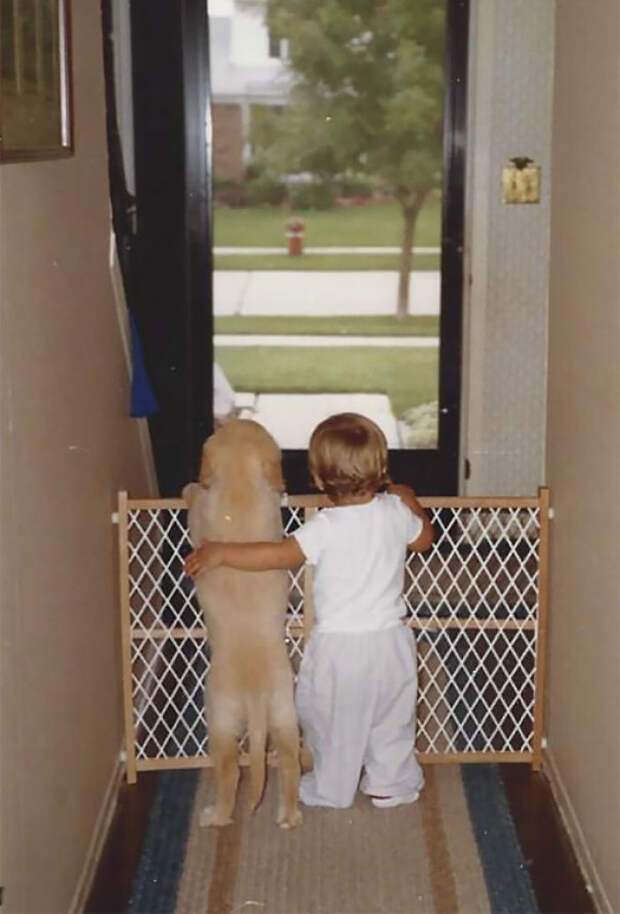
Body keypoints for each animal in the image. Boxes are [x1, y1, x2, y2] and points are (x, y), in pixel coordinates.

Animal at [183, 420, 302, 828]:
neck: (239, 485)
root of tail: (255, 697)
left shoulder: (201, 512)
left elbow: (196, 499)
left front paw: (188, 488)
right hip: (285, 712)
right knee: (290, 762)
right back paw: (289, 814)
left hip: (219, 718)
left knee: (231, 770)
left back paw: (215, 816)